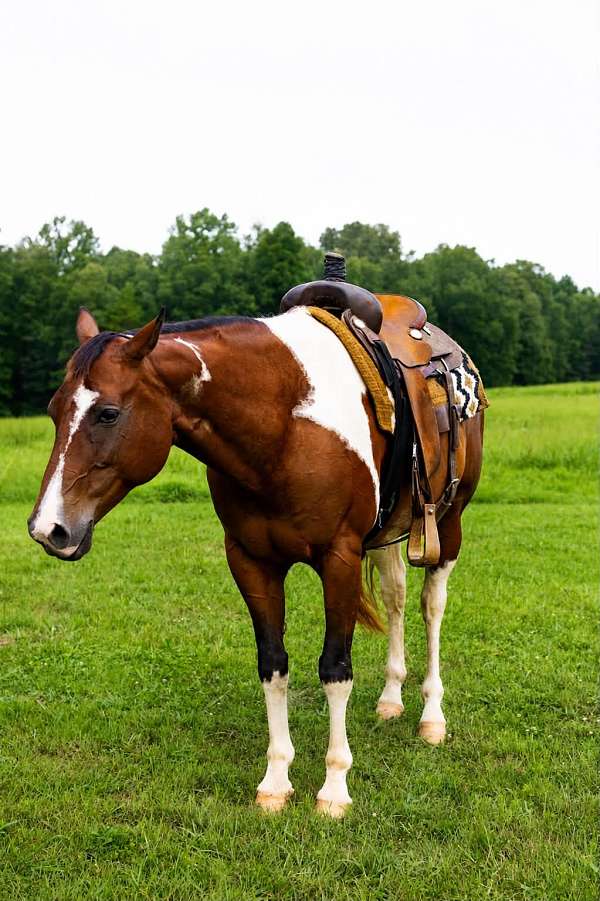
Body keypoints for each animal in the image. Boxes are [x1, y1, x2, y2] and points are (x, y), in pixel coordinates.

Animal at [28, 303, 484, 817]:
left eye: (108, 413)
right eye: (53, 411)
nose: (49, 529)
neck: (282, 428)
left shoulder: (340, 558)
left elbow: (335, 669)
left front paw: (334, 786)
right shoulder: (250, 562)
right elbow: (273, 665)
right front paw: (276, 780)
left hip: (447, 525)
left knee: (431, 608)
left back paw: (431, 715)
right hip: (388, 533)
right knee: (396, 598)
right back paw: (391, 698)